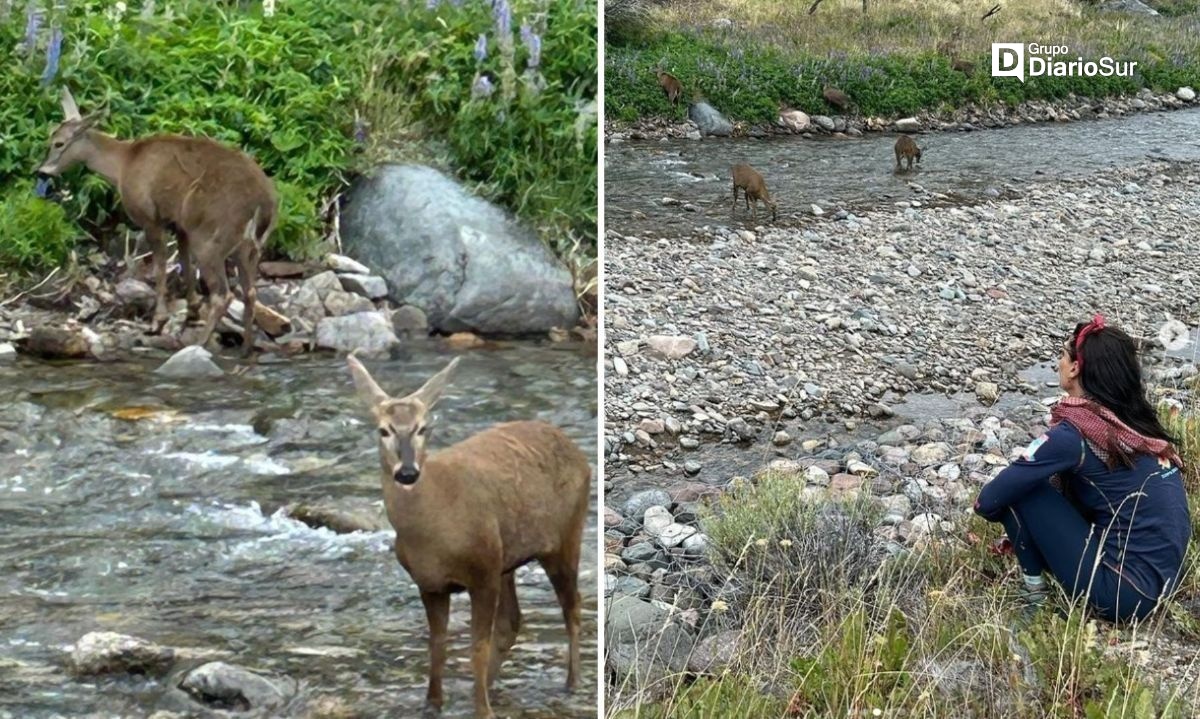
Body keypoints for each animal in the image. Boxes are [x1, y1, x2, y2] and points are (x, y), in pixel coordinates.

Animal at [33, 87, 278, 357]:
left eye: (58, 143)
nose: (41, 171)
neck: (123, 164)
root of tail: (264, 202)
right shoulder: (180, 224)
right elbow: (184, 264)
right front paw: (192, 311)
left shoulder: (150, 217)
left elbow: (160, 267)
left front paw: (157, 321)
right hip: (247, 246)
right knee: (250, 291)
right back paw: (246, 347)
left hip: (212, 236)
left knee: (222, 294)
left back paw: (200, 343)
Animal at [345, 355, 592, 719]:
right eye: (384, 429)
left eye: (423, 428)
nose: (407, 472)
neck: (433, 533)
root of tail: (577, 450)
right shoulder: (430, 583)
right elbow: (438, 644)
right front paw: (433, 703)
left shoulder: (482, 573)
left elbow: (477, 646)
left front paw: (483, 711)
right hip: (506, 556)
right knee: (513, 621)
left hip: (563, 537)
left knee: (571, 605)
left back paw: (572, 683)